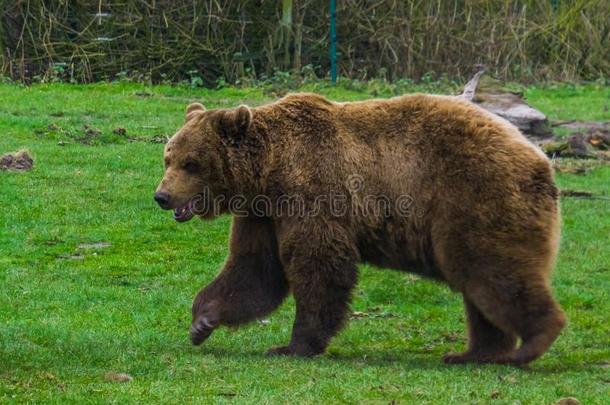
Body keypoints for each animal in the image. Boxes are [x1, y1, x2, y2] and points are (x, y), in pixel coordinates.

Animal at [154, 91, 564, 362]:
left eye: (191, 163)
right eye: (168, 157)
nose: (162, 196)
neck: (267, 170)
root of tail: (538, 157)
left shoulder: (311, 194)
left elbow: (318, 266)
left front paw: (292, 345)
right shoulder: (263, 213)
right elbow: (254, 269)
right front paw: (202, 320)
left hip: (473, 197)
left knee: (493, 269)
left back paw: (531, 343)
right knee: (479, 285)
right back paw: (473, 353)